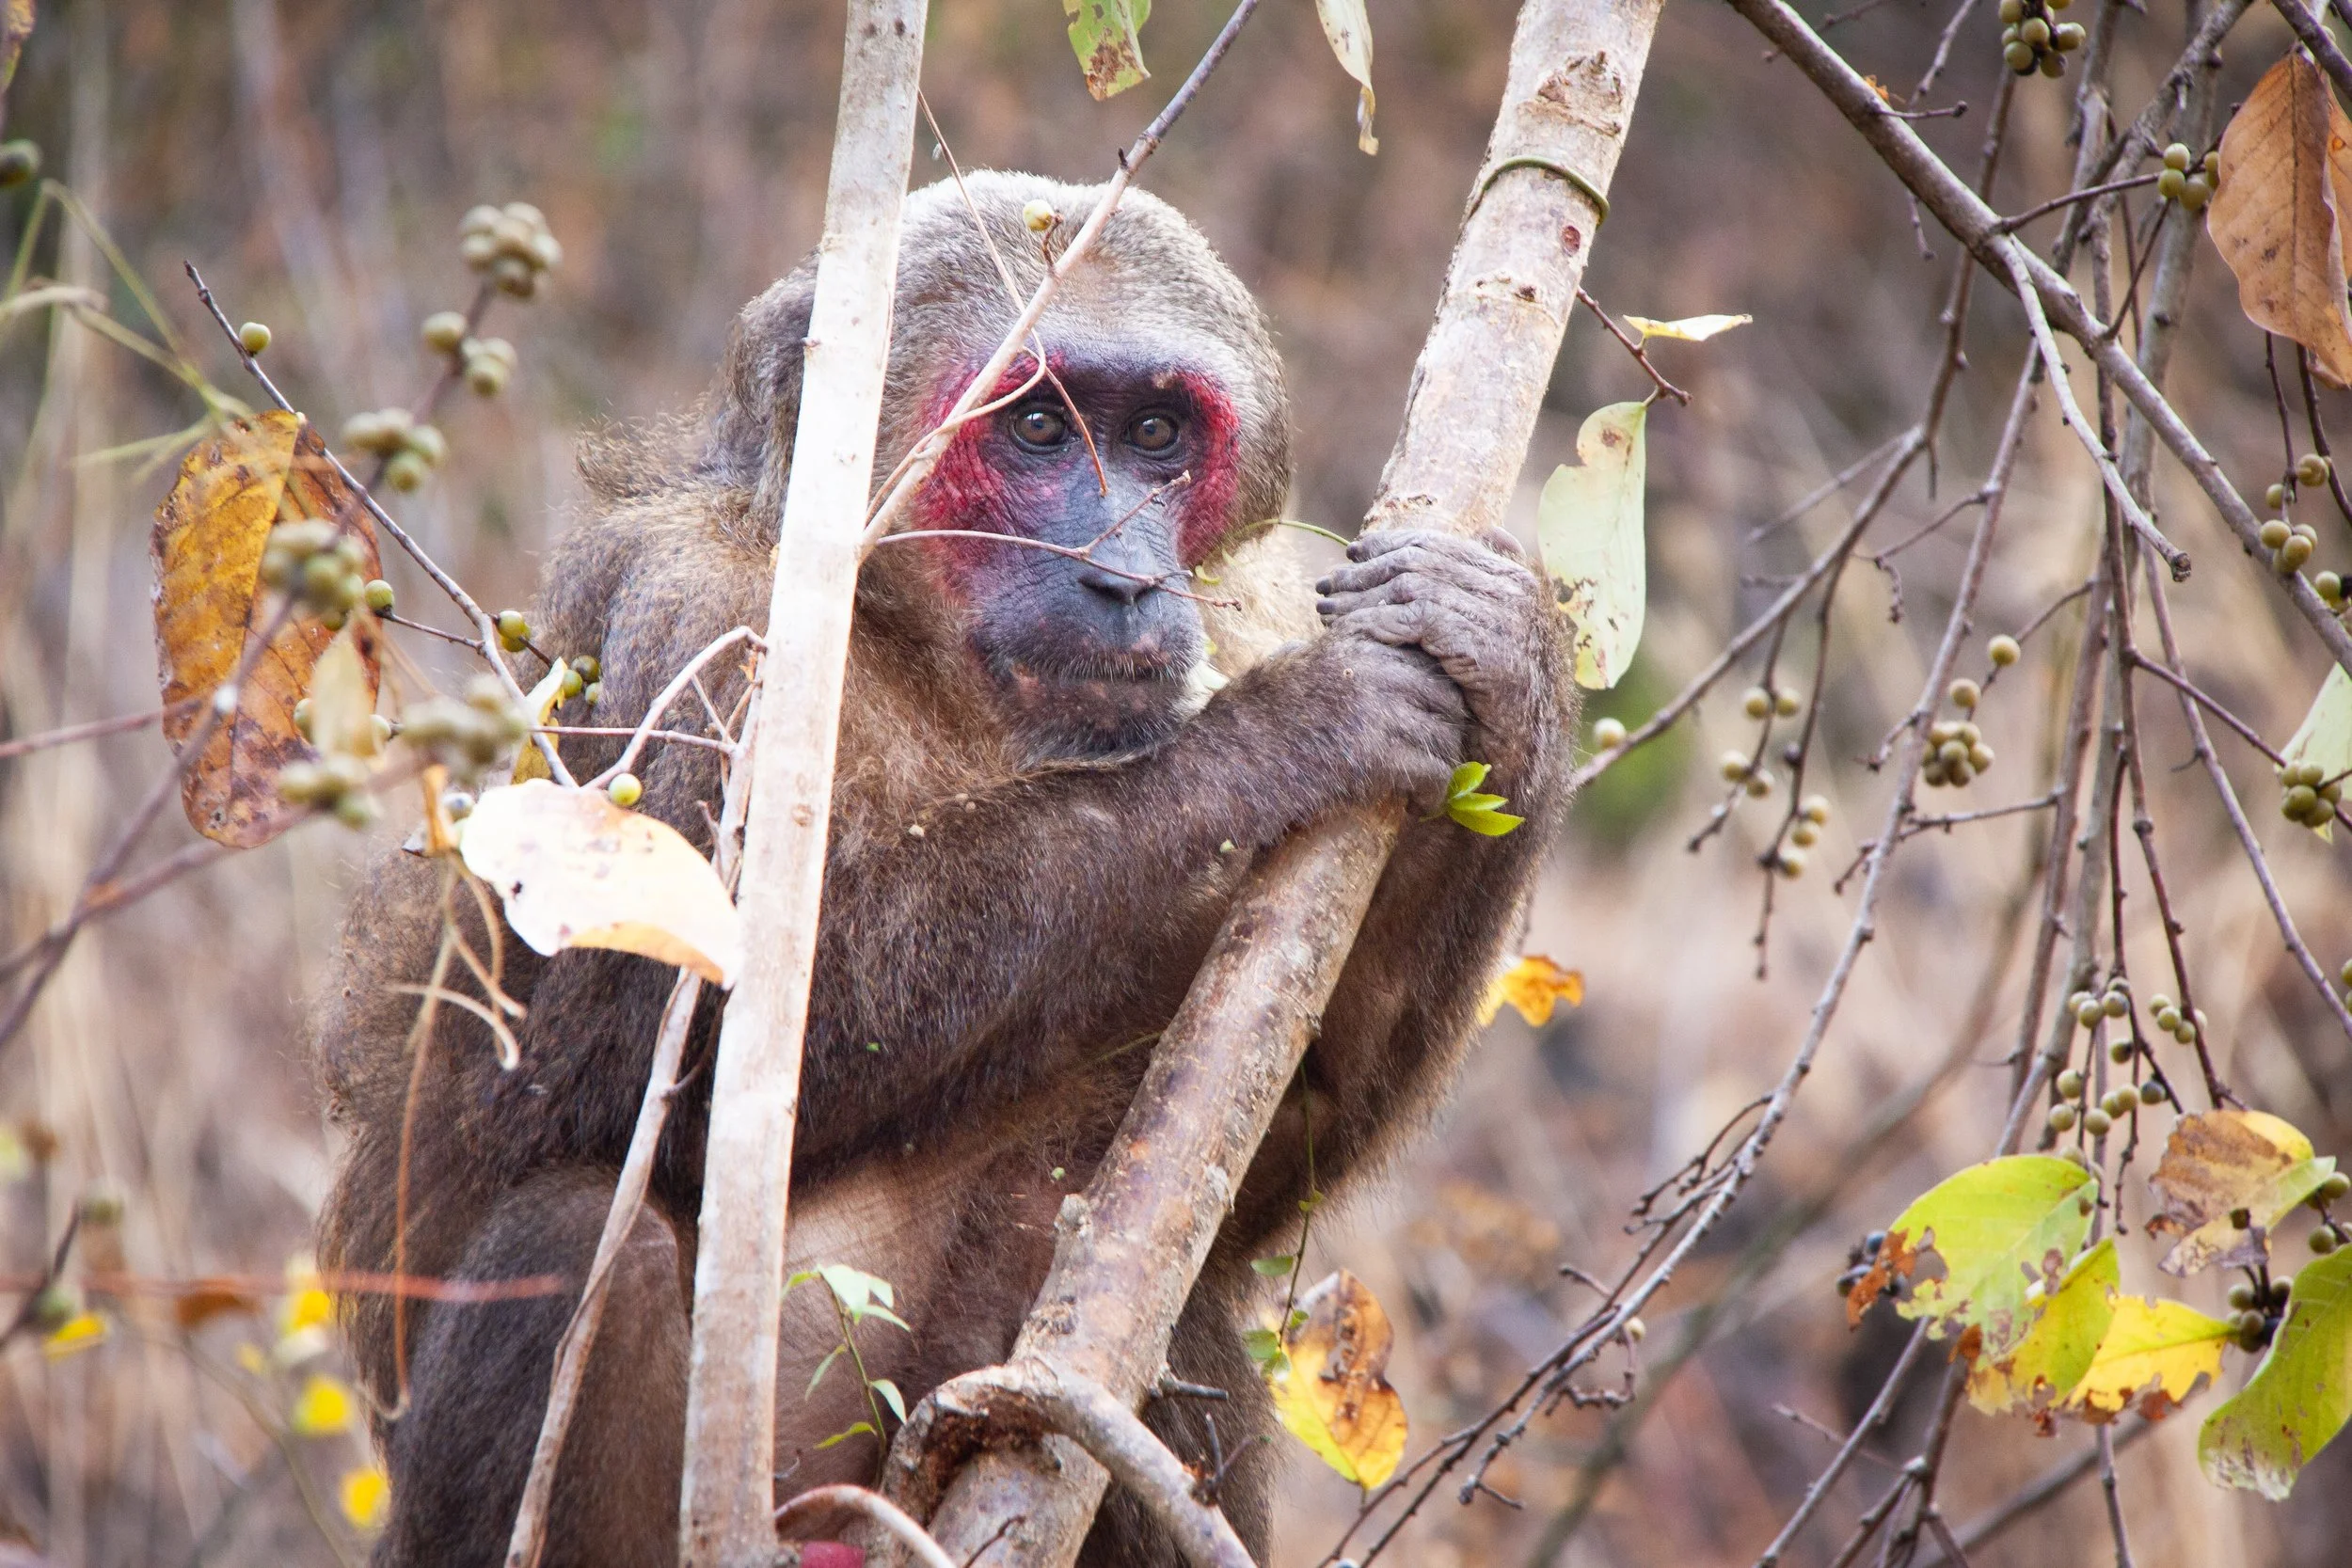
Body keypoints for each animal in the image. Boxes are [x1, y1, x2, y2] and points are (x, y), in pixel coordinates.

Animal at [312, 169, 1570, 1567]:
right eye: (1035, 431)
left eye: (1154, 434)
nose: (1122, 575)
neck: (919, 648)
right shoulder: (701, 636)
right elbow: (630, 1073)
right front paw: (1286, 735)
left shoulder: (1243, 615)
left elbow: (1252, 1153)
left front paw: (1503, 660)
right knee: (581, 1235)